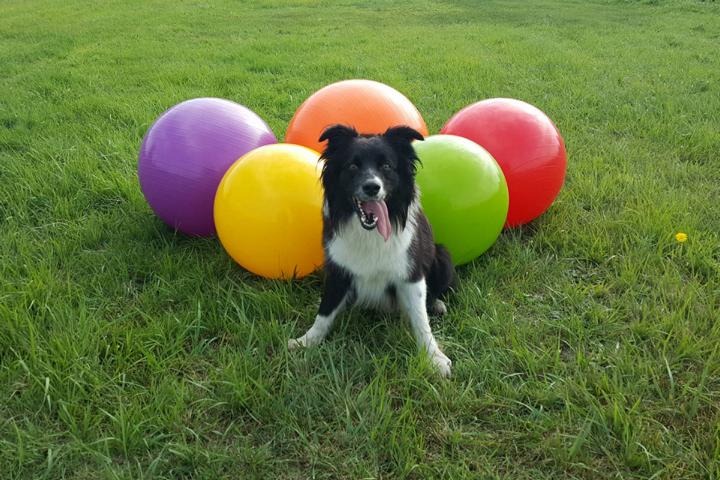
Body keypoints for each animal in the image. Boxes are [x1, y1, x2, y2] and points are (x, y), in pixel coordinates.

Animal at [288, 124, 452, 378]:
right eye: (353, 166)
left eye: (386, 166)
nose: (372, 187)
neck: (370, 232)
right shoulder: (338, 270)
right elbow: (325, 312)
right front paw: (307, 341)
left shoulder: (411, 274)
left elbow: (421, 320)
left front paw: (434, 358)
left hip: (443, 256)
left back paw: (436, 304)